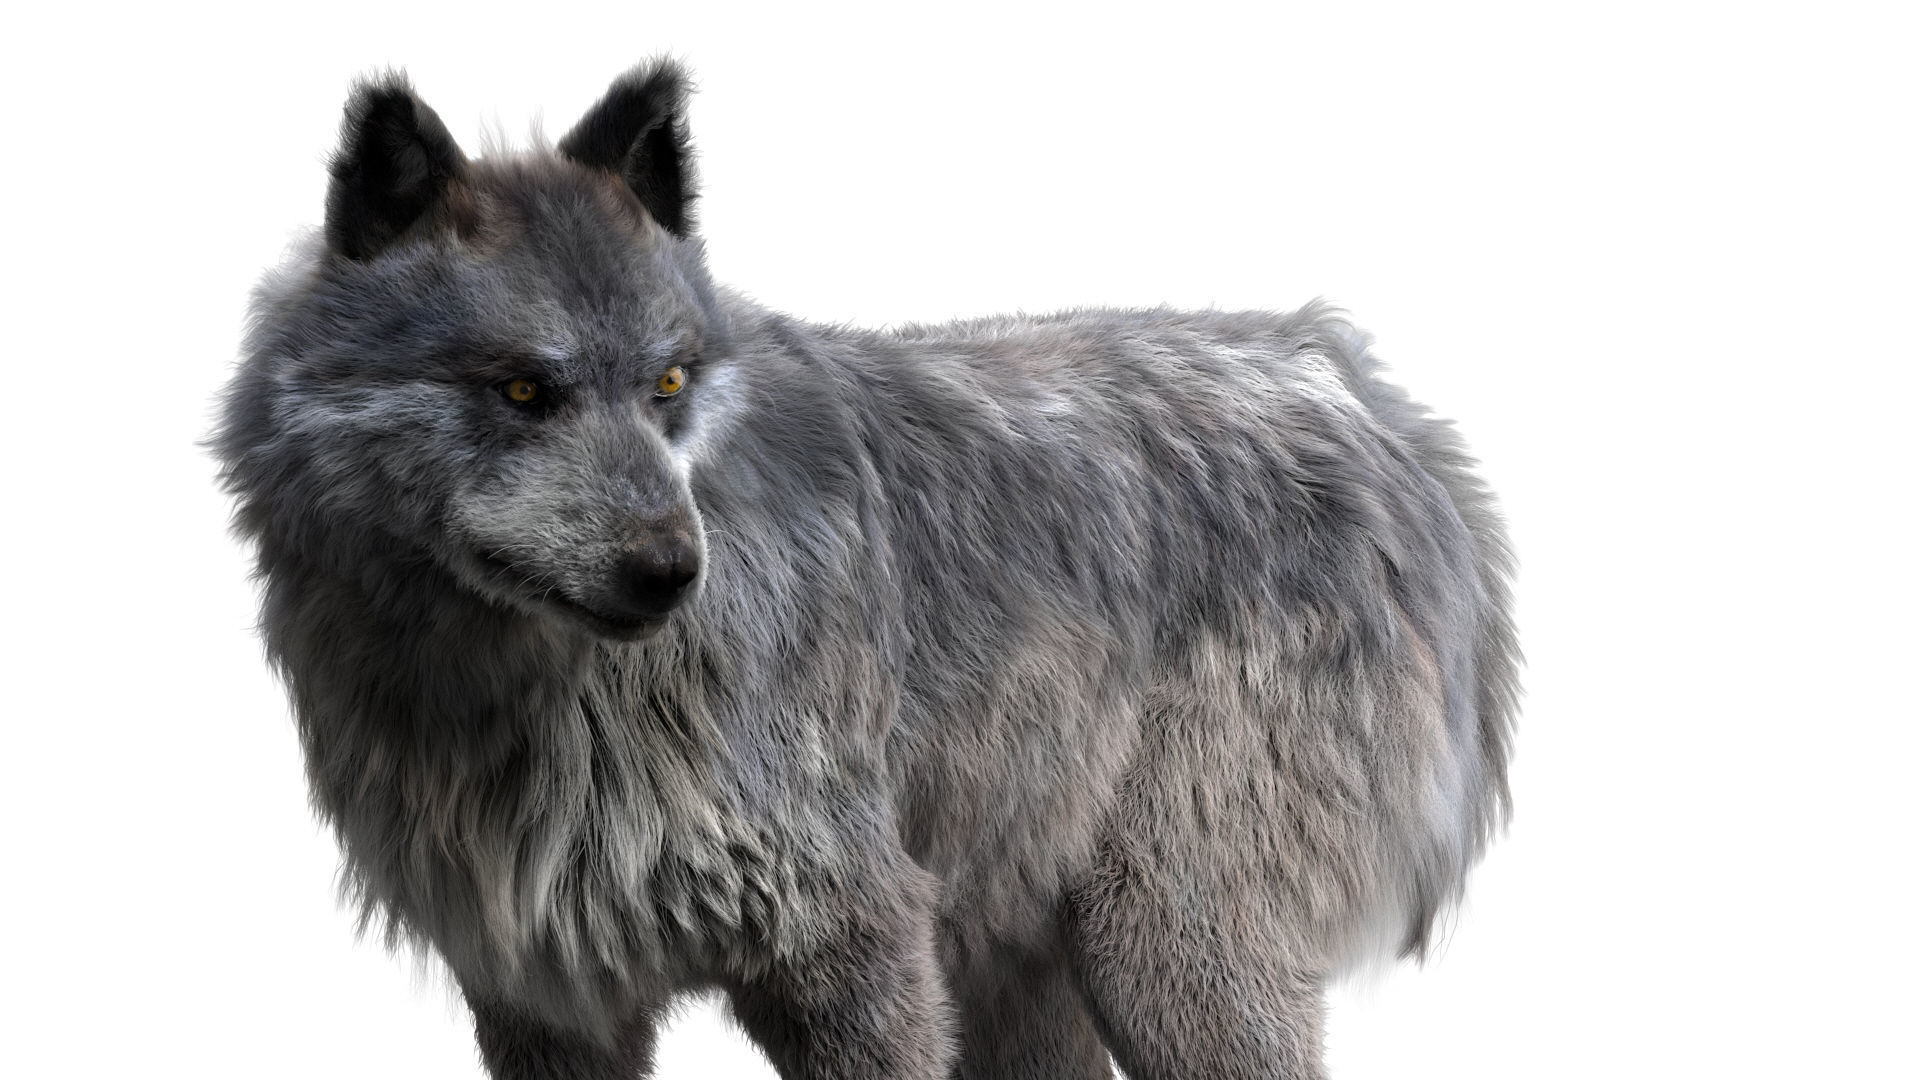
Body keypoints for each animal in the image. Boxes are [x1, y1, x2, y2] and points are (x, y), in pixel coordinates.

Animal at [215, 59, 1519, 1080]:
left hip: (1164, 953)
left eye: (670, 383)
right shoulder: (545, 998)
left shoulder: (853, 945)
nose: (671, 573)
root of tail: (1357, 388)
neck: (541, 705)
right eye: (524, 390)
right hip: (1025, 947)